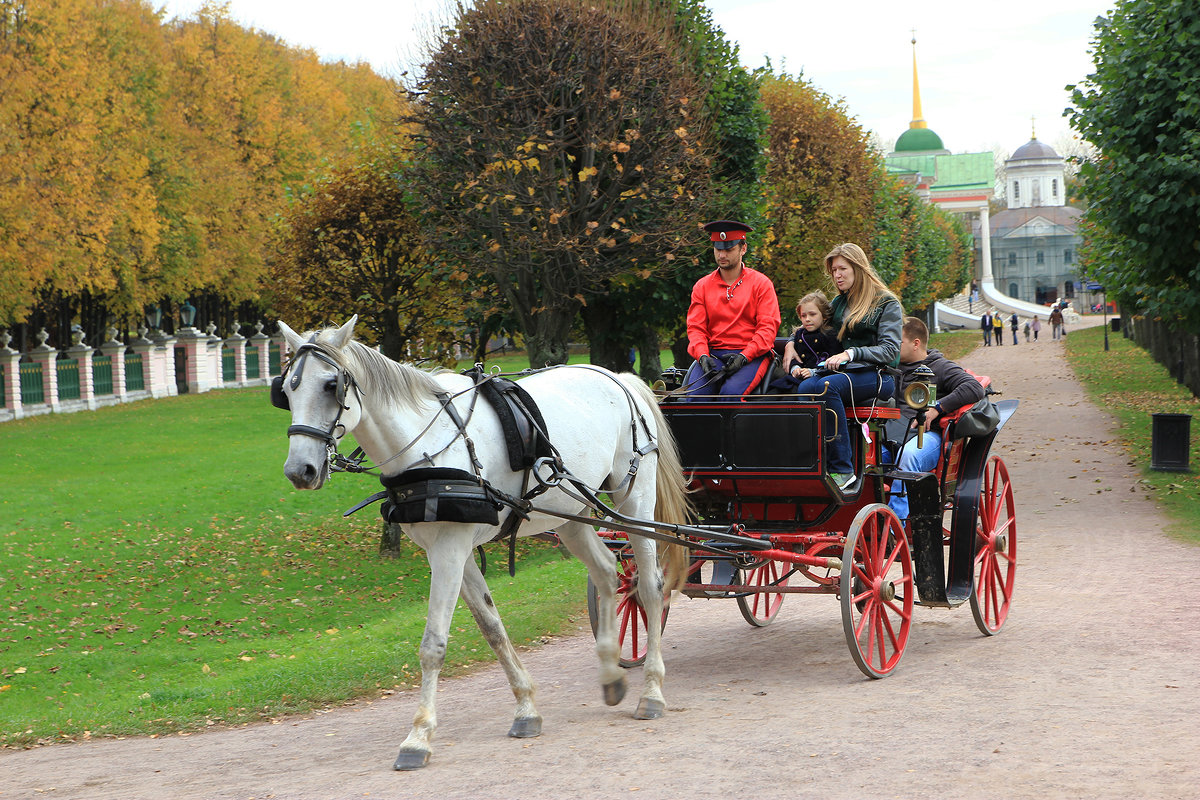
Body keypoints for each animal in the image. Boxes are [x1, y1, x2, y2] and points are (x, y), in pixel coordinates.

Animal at [272, 316, 686, 767]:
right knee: (609, 573)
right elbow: (492, 628)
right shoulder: (449, 552)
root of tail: (618, 377)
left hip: (635, 500)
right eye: (286, 390)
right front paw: (526, 708)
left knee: (649, 588)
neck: (427, 443)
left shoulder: (451, 550)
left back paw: (652, 691)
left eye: (331, 385)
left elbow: (433, 644)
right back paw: (611, 675)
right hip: (570, 514)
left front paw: (418, 736)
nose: (299, 470)